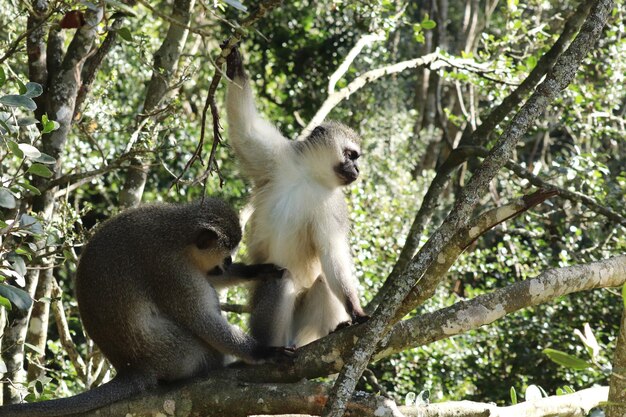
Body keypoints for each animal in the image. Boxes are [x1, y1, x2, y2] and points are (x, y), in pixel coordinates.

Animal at [0, 198, 292, 416]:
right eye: (226, 256)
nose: (228, 264)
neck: (177, 236)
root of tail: (131, 367)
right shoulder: (171, 271)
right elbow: (201, 319)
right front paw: (262, 352)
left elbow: (211, 280)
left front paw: (257, 271)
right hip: (179, 354)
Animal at [224, 46, 368, 348]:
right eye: (351, 156)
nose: (358, 170)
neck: (309, 176)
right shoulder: (275, 156)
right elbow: (245, 130)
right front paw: (235, 67)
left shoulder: (333, 206)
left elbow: (331, 253)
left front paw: (355, 309)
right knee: (280, 278)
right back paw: (272, 349)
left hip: (305, 327)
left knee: (322, 281)